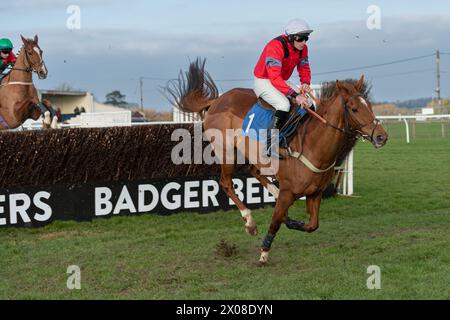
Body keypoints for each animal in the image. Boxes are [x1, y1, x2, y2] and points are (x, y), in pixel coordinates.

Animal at [165, 58, 386, 264]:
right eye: (354, 109)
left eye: (369, 106)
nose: (381, 136)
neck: (313, 145)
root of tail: (218, 100)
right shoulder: (289, 192)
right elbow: (275, 221)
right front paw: (264, 252)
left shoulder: (315, 193)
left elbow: (312, 225)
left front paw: (291, 221)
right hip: (226, 152)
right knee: (226, 182)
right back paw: (250, 222)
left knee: (255, 171)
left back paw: (273, 196)